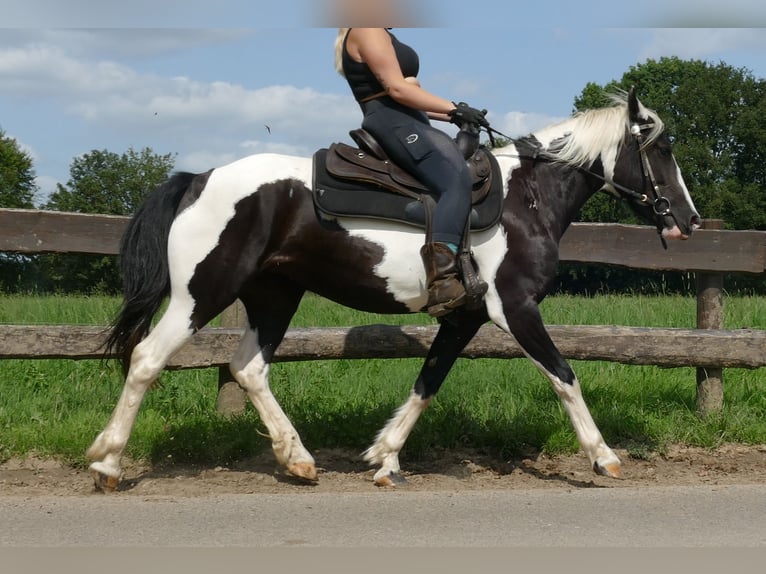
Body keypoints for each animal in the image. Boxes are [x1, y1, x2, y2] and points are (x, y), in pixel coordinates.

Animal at [85, 88, 704, 492]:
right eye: (663, 149)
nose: (690, 221)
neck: (525, 200)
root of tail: (200, 177)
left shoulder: (464, 317)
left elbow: (428, 381)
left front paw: (384, 457)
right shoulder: (515, 308)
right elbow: (564, 376)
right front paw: (604, 457)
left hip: (274, 297)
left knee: (248, 368)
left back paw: (298, 459)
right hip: (202, 295)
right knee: (147, 359)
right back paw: (108, 463)